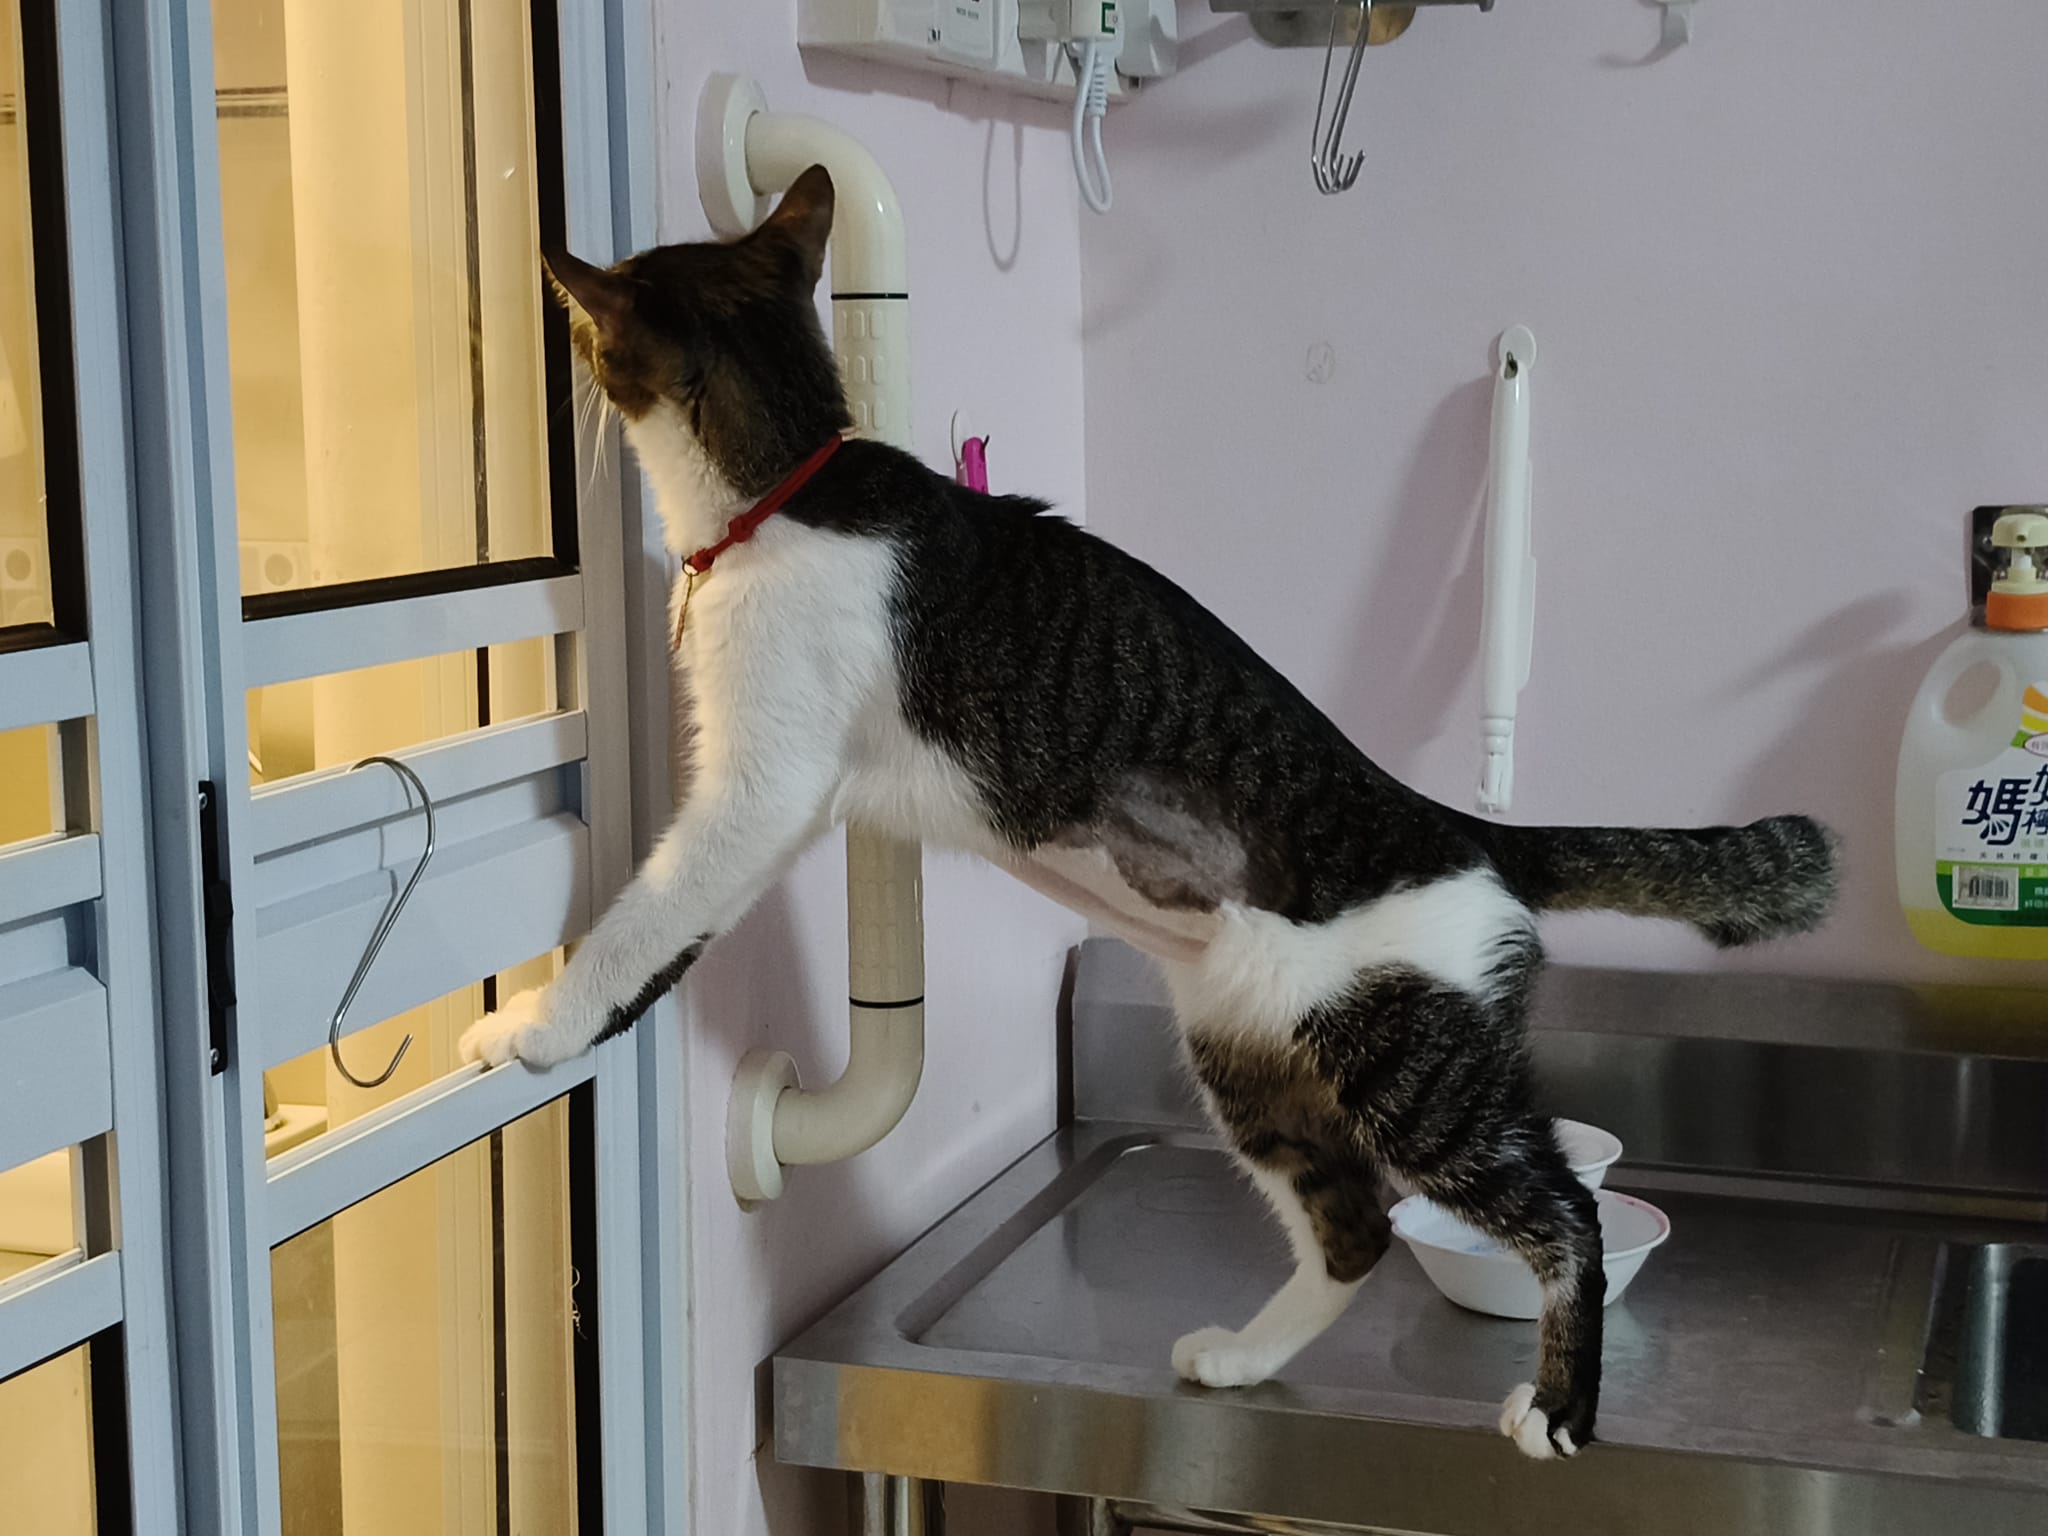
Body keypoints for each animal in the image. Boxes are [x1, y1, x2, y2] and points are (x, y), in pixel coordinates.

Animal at [457, 165, 1837, 1459]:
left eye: (596, 339)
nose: (573, 360)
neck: (785, 484)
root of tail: (1455, 826)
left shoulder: (762, 783)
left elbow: (650, 916)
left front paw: (537, 1025)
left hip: (1410, 1063)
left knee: (1556, 1210)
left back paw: (1557, 1404)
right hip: (1246, 1053)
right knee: (1349, 1228)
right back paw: (1243, 1358)